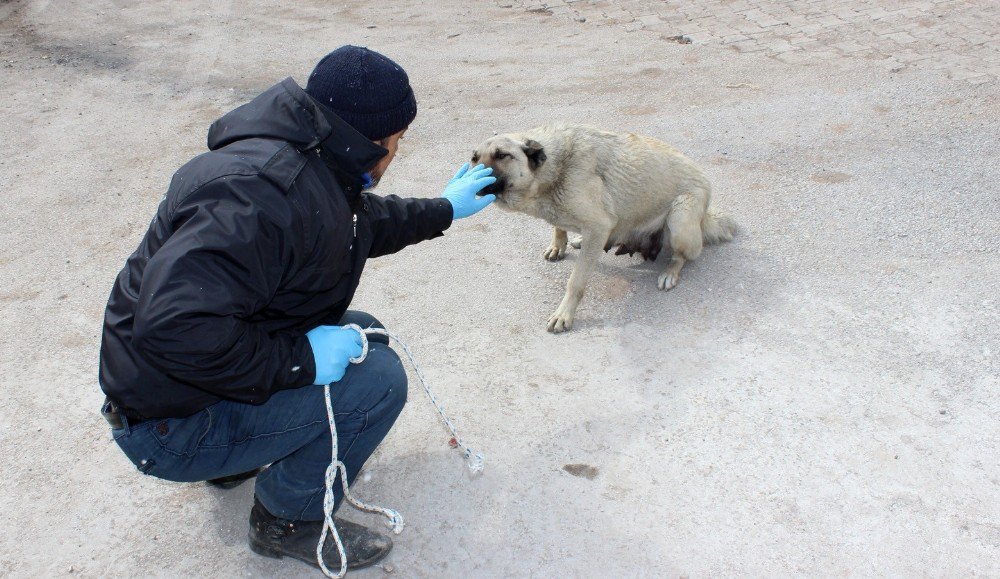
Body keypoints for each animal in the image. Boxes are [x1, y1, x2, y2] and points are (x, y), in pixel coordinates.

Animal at [468, 125, 736, 336]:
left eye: (502, 155)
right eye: (474, 157)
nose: (470, 175)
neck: (554, 170)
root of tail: (705, 217)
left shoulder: (599, 226)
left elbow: (575, 282)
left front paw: (564, 314)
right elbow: (559, 227)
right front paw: (558, 244)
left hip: (680, 219)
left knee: (684, 255)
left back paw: (670, 271)